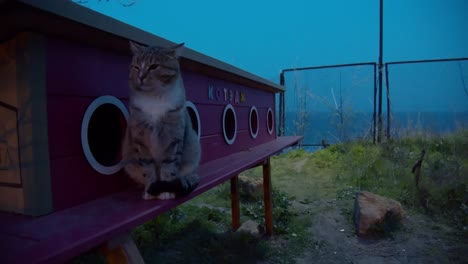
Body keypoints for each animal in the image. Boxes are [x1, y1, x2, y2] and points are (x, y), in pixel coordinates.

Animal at [121, 41, 200, 200]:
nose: (140, 77)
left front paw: (166, 190)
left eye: (154, 66)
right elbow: (148, 168)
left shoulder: (173, 137)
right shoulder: (140, 138)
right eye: (136, 67)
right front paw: (150, 189)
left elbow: (169, 166)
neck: (154, 97)